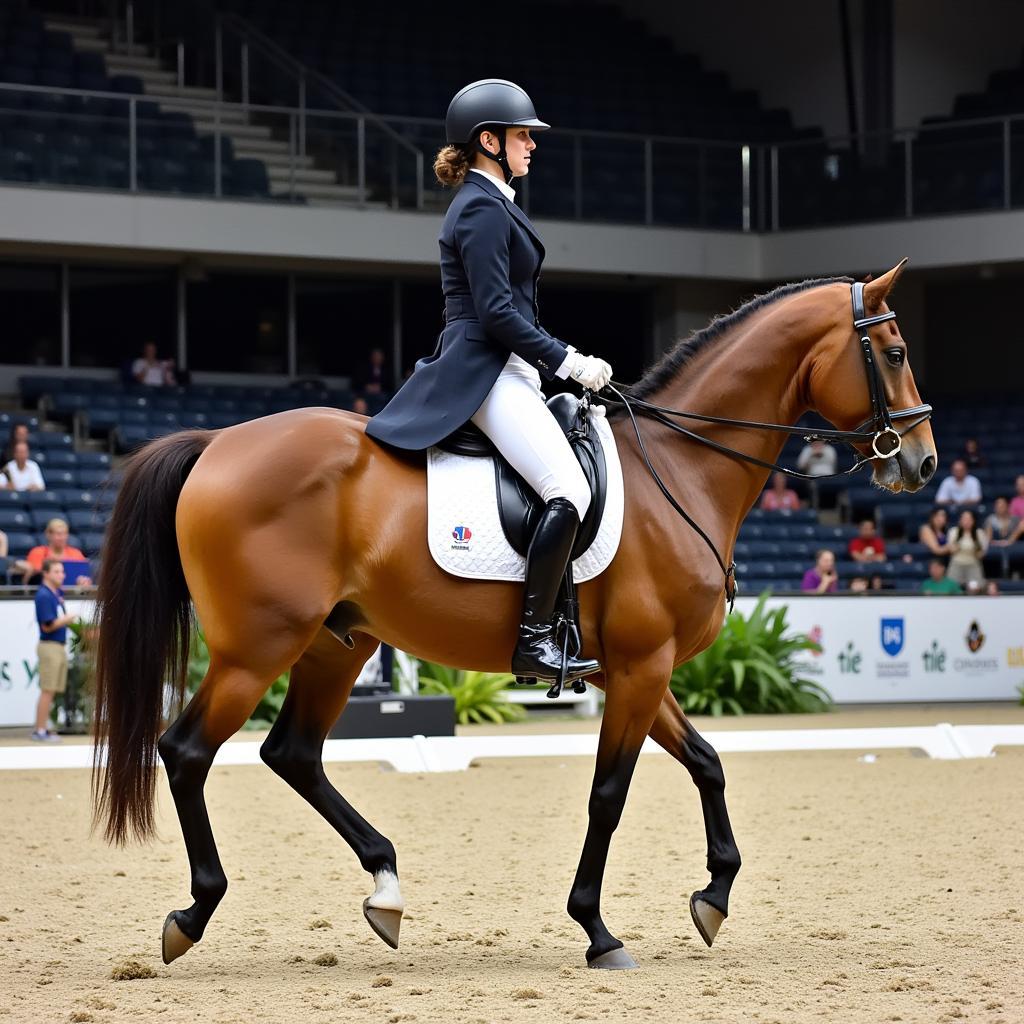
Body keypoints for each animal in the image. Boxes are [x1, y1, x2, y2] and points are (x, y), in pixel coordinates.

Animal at [92, 260, 933, 970]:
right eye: (894, 352)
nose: (920, 462)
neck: (682, 469)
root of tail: (214, 443)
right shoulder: (641, 667)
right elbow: (610, 795)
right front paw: (598, 930)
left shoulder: (636, 668)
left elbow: (706, 762)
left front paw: (714, 897)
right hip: (257, 647)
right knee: (188, 750)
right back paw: (194, 914)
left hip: (339, 643)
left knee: (292, 752)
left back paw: (386, 889)